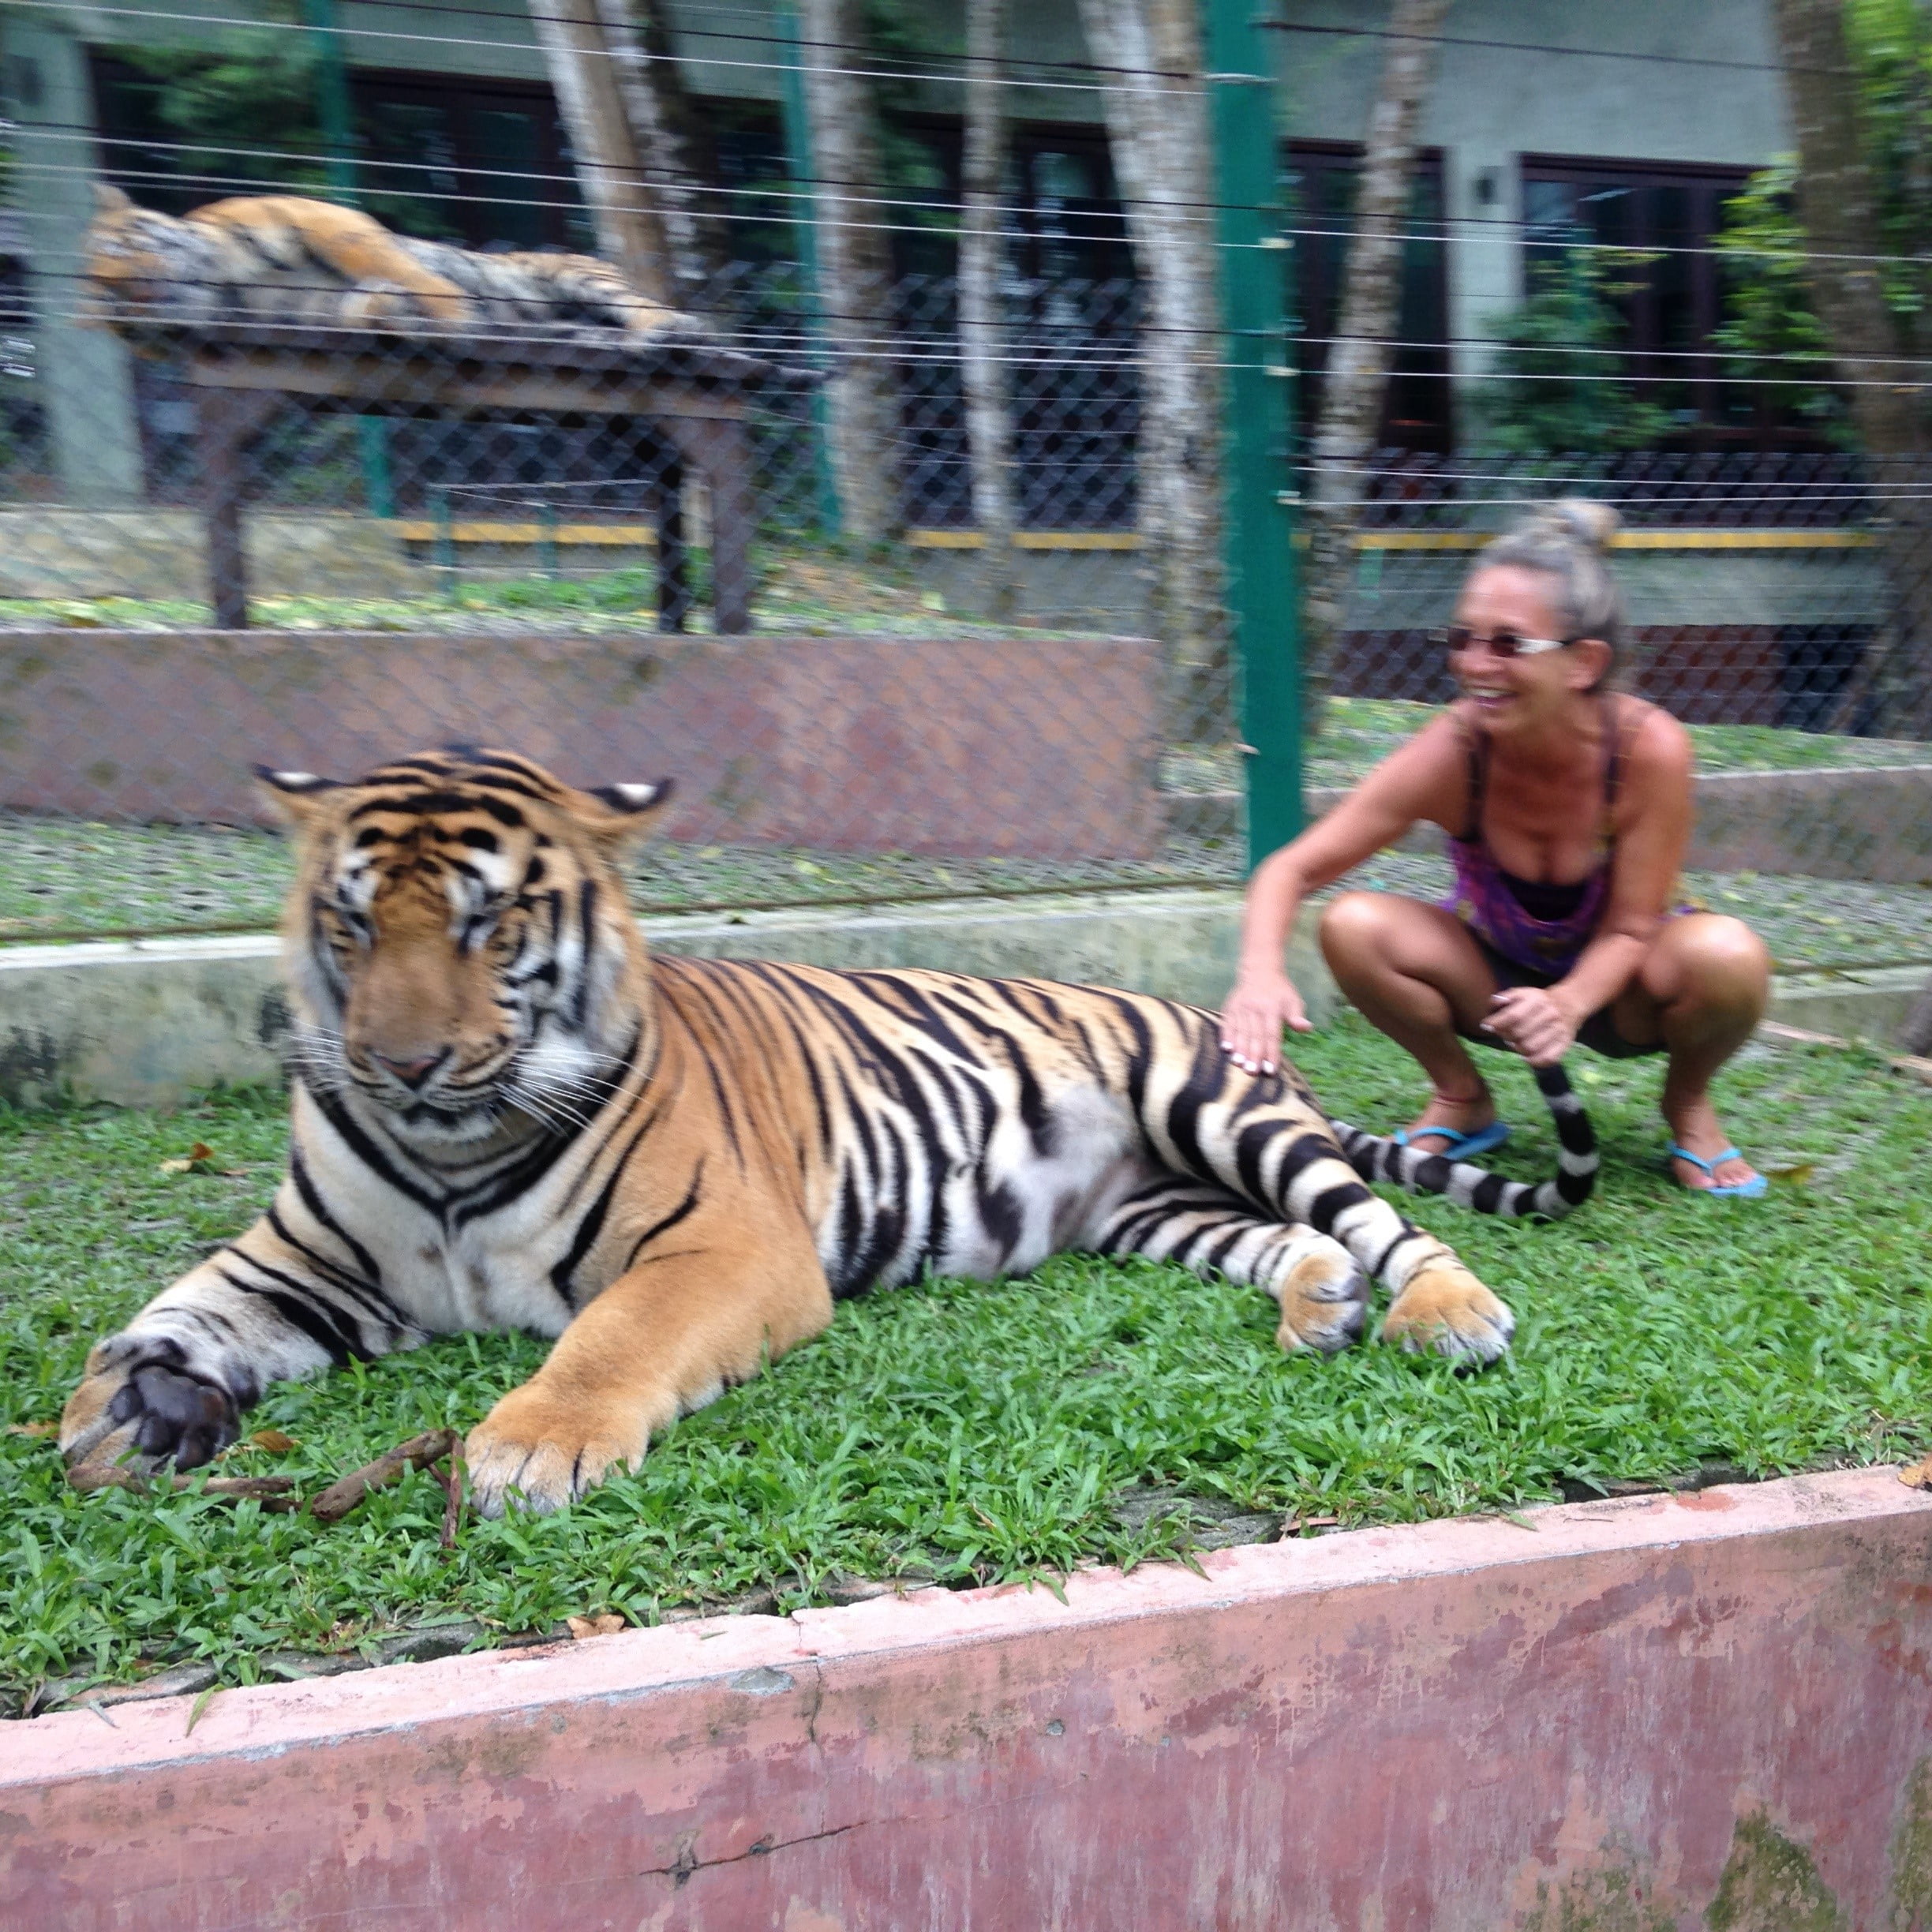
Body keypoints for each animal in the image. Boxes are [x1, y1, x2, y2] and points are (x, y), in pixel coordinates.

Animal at [64, 745, 1599, 1515]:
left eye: (488, 925)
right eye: (349, 924)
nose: (403, 1063)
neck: (452, 1150)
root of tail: (1188, 1007)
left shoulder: (721, 1249)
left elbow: (603, 1337)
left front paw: (532, 1446)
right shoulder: (305, 1262)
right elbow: (175, 1310)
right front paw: (114, 1411)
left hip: (1211, 1104)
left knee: (1374, 1212)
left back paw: (1445, 1313)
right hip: (1155, 1207)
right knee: (1289, 1236)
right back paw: (1317, 1305)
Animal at [91, 182, 699, 342]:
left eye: (118, 252)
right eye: (109, 297)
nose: (131, 293)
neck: (223, 282)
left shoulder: (329, 223)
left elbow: (416, 276)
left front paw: (456, 318)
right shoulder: (308, 309)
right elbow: (360, 310)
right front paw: (389, 309)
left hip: (577, 274)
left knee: (654, 311)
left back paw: (670, 328)